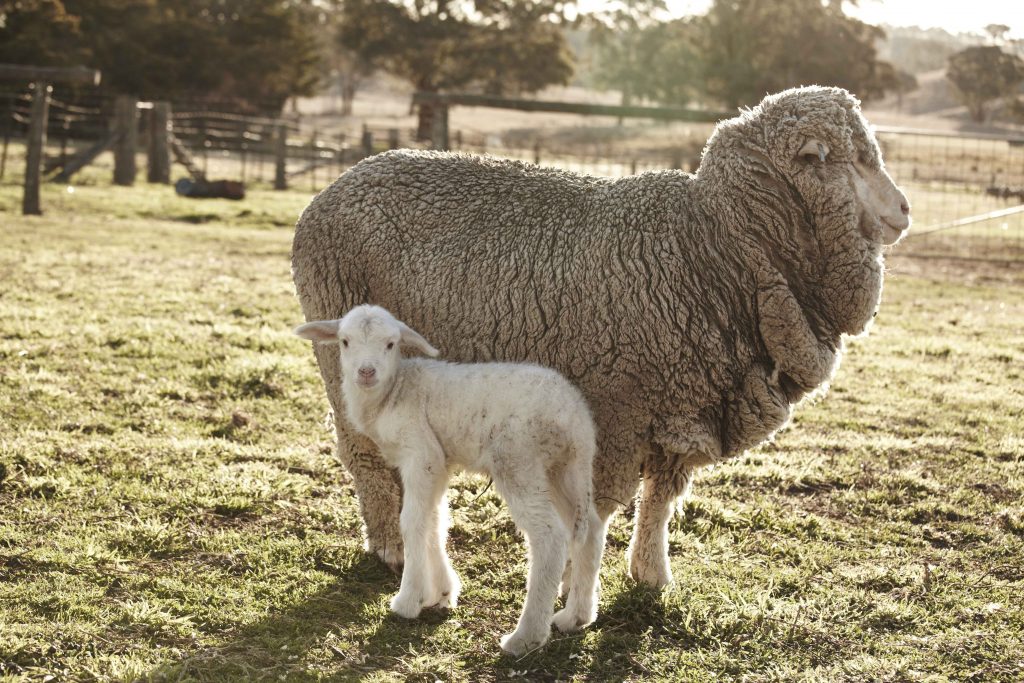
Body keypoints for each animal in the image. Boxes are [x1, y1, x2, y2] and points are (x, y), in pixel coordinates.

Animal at [292, 85, 909, 589]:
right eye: (842, 161)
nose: (905, 210)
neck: (715, 243)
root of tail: (335, 187)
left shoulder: (686, 404)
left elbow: (661, 500)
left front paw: (651, 574)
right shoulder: (616, 406)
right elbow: (601, 508)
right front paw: (574, 583)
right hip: (344, 359)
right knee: (361, 452)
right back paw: (391, 547)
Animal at [292, 305, 602, 655]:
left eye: (391, 344)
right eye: (345, 341)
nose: (366, 372)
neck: (393, 391)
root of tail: (573, 416)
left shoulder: (420, 452)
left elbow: (411, 521)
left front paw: (408, 599)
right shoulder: (439, 462)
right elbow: (435, 520)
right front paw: (441, 591)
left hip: (518, 459)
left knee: (549, 536)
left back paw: (525, 636)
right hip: (566, 468)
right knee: (591, 526)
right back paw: (577, 616)